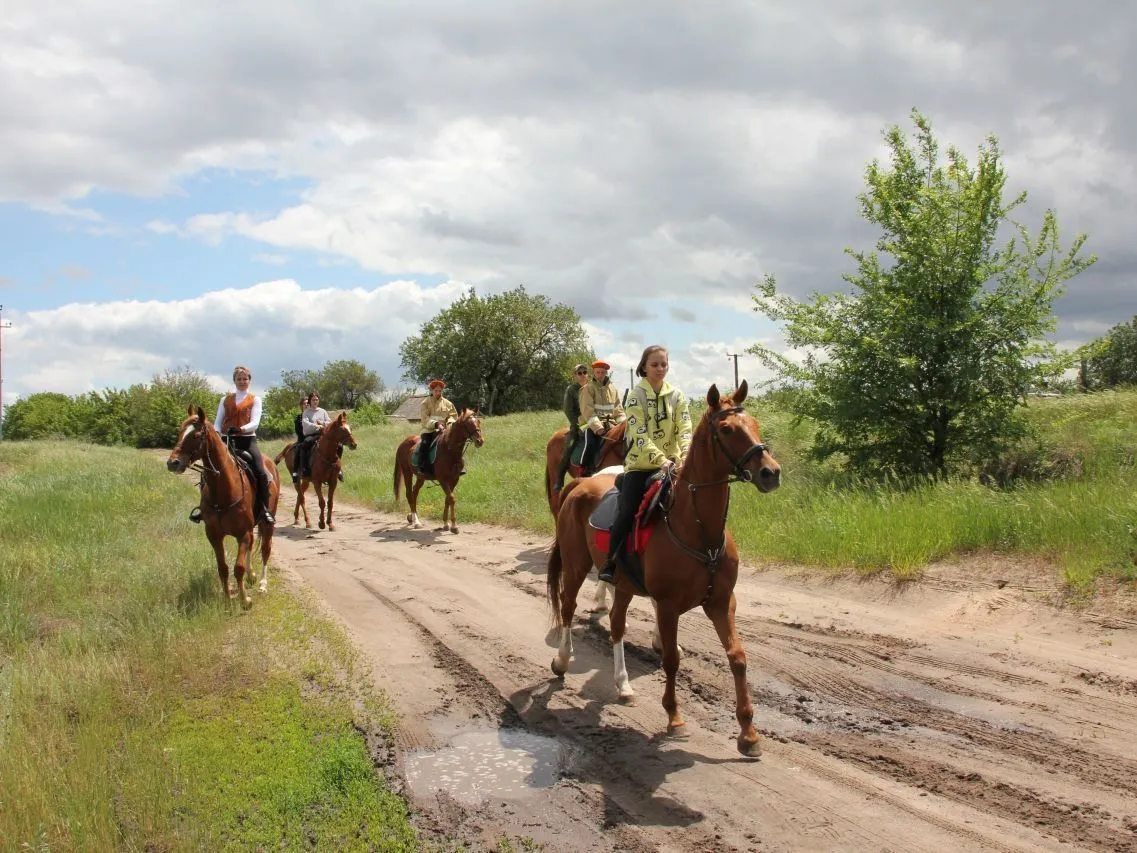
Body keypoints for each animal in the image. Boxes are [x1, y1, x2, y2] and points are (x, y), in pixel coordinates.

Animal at [164, 404, 279, 609]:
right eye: (180, 432)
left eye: (197, 435)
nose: (172, 463)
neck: (224, 492)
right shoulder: (214, 535)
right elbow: (223, 568)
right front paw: (227, 598)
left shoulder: (243, 533)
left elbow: (238, 568)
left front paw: (245, 600)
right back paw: (252, 575)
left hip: (267, 523)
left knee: (266, 549)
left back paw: (262, 585)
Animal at [543, 384, 777, 759]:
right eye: (727, 429)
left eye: (754, 423)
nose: (771, 472)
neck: (697, 528)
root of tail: (579, 486)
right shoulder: (668, 606)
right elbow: (669, 660)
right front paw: (674, 716)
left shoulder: (722, 602)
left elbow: (738, 657)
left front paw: (748, 734)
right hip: (577, 564)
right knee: (567, 608)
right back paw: (563, 661)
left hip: (622, 582)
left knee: (616, 625)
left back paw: (623, 684)